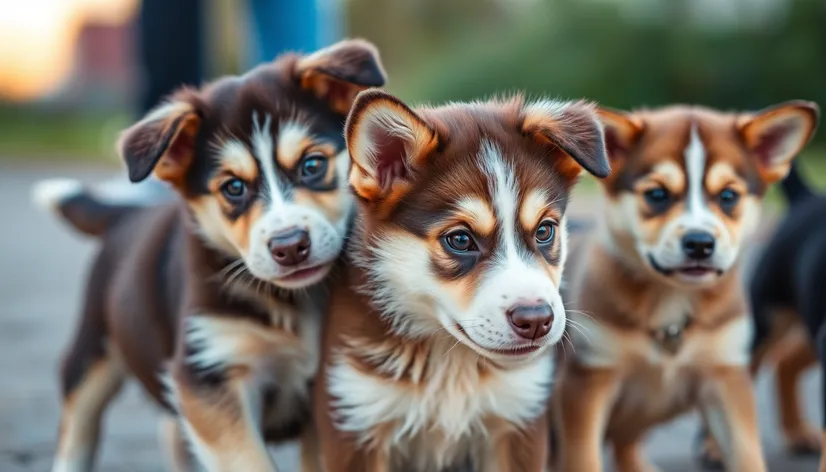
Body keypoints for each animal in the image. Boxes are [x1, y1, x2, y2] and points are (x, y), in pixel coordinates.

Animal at [32, 40, 386, 472]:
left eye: (312, 164)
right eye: (233, 188)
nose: (289, 246)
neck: (293, 303)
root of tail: (127, 213)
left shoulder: (327, 395)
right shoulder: (209, 374)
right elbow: (249, 462)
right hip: (92, 348)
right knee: (79, 424)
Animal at [312, 91, 608, 472]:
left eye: (545, 231)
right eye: (461, 240)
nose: (536, 320)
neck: (451, 361)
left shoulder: (519, 418)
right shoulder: (356, 419)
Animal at [552, 100, 816, 472]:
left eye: (728, 196)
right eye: (657, 194)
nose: (700, 243)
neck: (672, 298)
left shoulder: (727, 378)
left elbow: (747, 453)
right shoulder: (586, 381)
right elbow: (583, 458)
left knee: (625, 441)